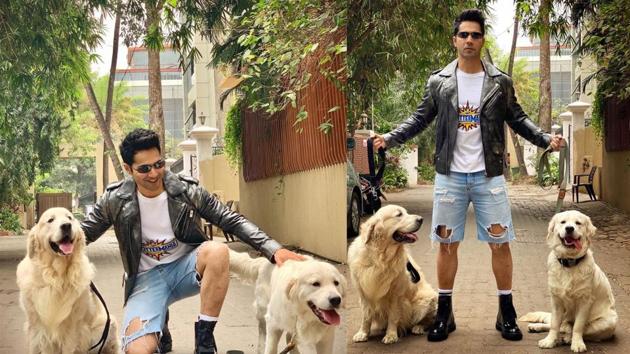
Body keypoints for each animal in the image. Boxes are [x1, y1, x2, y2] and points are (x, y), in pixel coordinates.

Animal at [15, 207, 119, 354]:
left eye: (70, 218)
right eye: (50, 220)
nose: (66, 226)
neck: (56, 276)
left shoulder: (73, 327)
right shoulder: (36, 325)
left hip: (108, 324)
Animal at [348, 203, 436, 344]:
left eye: (406, 212)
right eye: (399, 214)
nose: (421, 219)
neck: (380, 258)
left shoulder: (396, 293)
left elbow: (393, 315)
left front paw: (391, 335)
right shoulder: (364, 292)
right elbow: (366, 316)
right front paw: (363, 333)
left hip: (426, 299)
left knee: (429, 320)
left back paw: (418, 327)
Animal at [520, 210, 620, 352]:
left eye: (578, 223)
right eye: (563, 222)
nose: (569, 228)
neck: (569, 262)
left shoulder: (585, 301)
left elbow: (578, 327)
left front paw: (577, 344)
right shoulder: (556, 300)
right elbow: (554, 325)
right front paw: (549, 341)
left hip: (608, 322)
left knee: (581, 331)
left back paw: (567, 338)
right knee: (558, 326)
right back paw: (538, 327)